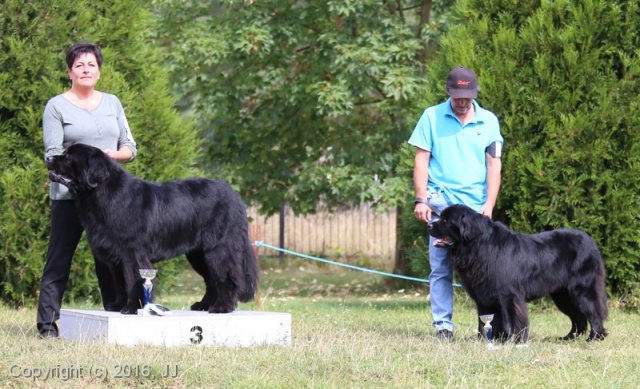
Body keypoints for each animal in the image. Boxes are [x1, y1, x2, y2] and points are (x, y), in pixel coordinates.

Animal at [46, 144, 258, 314]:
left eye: (68, 156)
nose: (48, 158)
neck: (102, 194)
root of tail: (235, 196)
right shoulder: (114, 255)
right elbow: (120, 283)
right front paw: (117, 305)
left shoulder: (131, 253)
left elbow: (132, 280)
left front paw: (131, 308)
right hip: (199, 254)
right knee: (212, 280)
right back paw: (203, 305)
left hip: (218, 249)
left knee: (227, 277)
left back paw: (222, 307)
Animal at [428, 205, 608, 342]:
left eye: (446, 220)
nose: (429, 225)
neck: (478, 246)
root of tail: (590, 241)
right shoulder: (483, 296)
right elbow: (484, 320)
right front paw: (485, 340)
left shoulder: (508, 295)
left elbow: (512, 319)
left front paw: (514, 340)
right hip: (562, 295)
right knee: (578, 317)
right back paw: (569, 338)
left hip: (582, 290)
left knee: (593, 311)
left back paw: (595, 337)